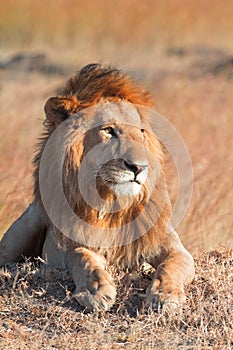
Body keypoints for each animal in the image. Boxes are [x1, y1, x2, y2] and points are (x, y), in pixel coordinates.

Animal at [0, 63, 195, 312]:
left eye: (141, 132)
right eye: (109, 130)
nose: (139, 167)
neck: (112, 204)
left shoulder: (172, 245)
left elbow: (174, 264)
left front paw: (165, 295)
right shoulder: (66, 246)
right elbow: (82, 256)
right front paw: (96, 290)